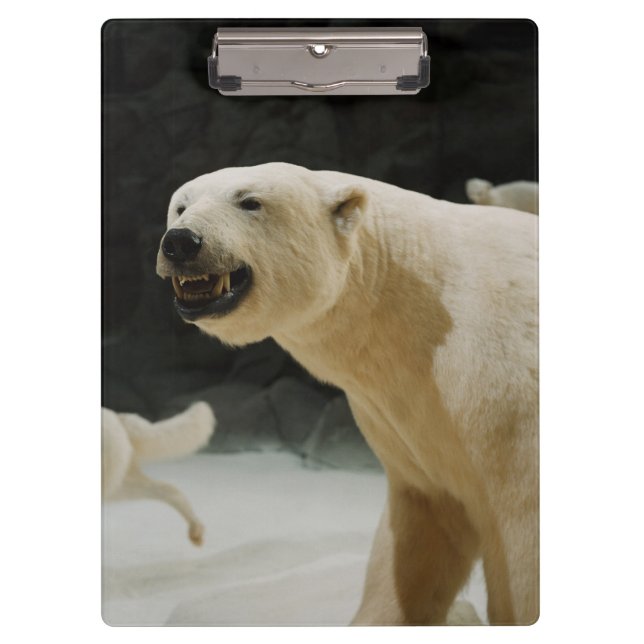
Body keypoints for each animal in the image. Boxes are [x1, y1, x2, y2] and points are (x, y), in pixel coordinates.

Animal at [156, 162, 539, 625]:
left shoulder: (506, 398)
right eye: (181, 206)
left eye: (250, 201)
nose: (182, 242)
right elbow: (417, 537)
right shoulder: (411, 422)